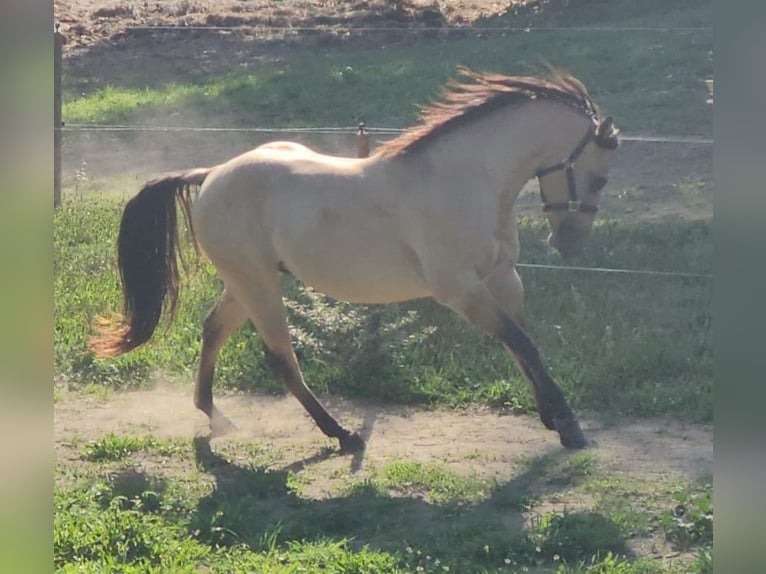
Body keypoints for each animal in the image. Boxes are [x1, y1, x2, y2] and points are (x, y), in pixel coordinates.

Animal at [90, 67, 620, 452]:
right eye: (599, 178)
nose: (568, 244)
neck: (464, 181)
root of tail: (213, 173)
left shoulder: (502, 277)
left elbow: (523, 345)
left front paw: (552, 416)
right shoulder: (460, 290)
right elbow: (521, 343)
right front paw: (569, 426)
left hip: (245, 284)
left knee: (213, 329)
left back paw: (215, 415)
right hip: (257, 284)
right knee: (280, 358)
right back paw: (341, 434)